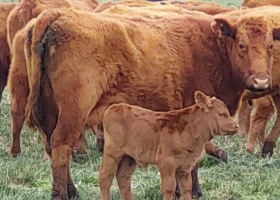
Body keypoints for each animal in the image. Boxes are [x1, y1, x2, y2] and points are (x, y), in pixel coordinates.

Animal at [99, 91, 238, 200]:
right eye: (221, 114)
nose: (236, 126)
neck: (191, 128)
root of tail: (115, 107)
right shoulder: (166, 163)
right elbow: (169, 188)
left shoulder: (185, 167)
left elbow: (186, 188)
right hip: (112, 153)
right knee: (105, 177)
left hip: (129, 158)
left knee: (123, 178)